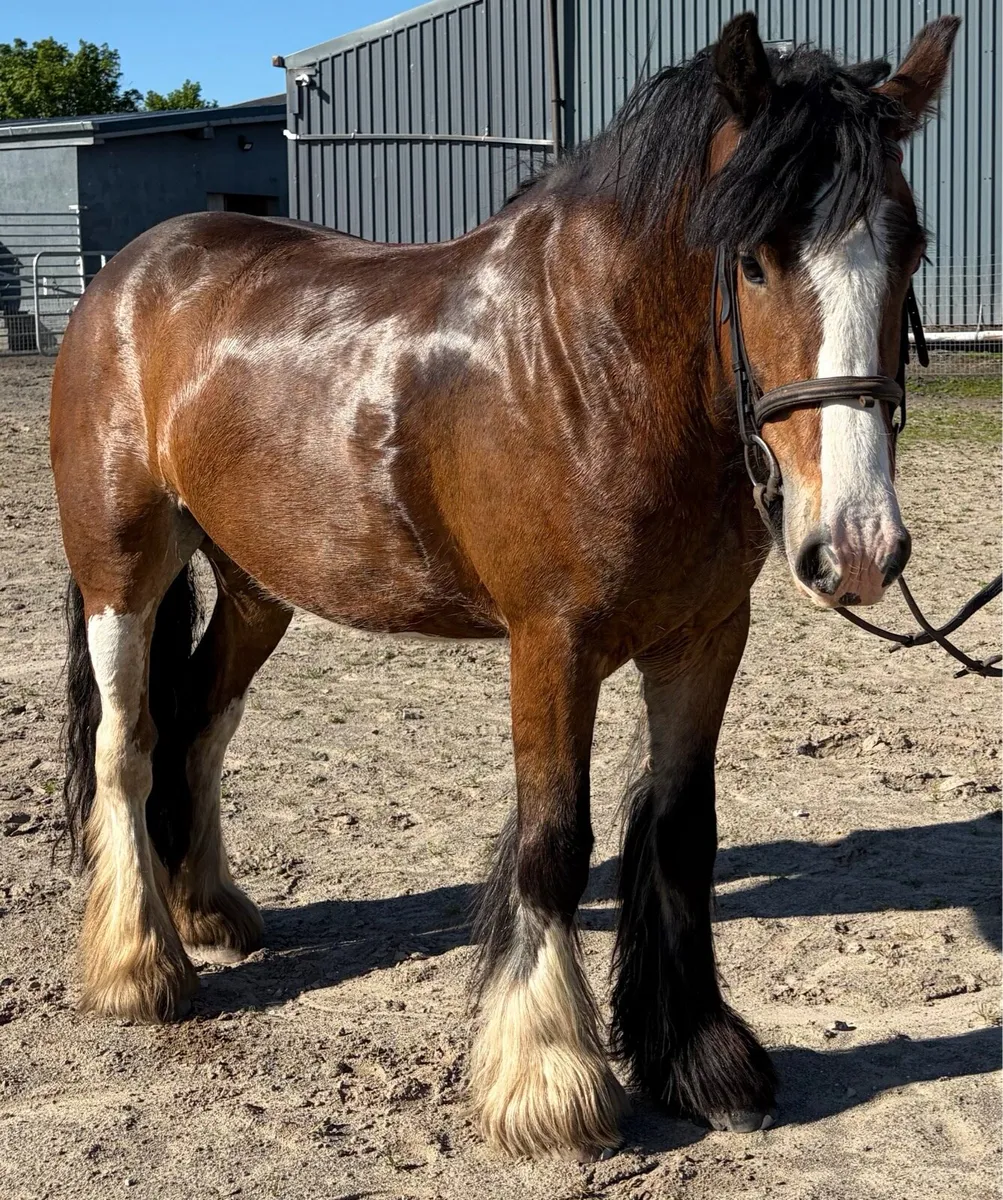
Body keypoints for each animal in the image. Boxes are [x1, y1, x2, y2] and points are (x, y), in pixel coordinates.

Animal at [50, 13, 959, 1161]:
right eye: (753, 260)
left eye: (909, 245)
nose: (857, 545)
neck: (597, 365)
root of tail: (129, 273)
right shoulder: (551, 643)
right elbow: (552, 846)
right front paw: (550, 1085)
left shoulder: (705, 637)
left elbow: (681, 834)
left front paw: (698, 1059)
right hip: (121, 567)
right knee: (127, 744)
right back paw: (140, 967)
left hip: (257, 584)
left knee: (201, 721)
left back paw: (209, 907)